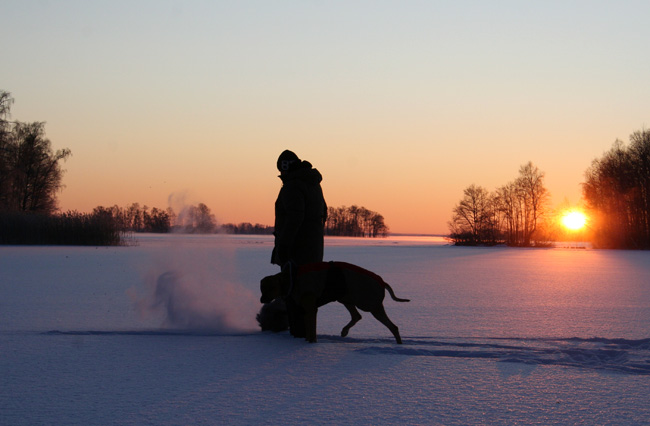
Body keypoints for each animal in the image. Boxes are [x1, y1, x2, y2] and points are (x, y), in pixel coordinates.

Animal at [260, 262, 408, 344]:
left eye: (271, 288)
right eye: (262, 288)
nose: (261, 300)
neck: (293, 278)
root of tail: (382, 282)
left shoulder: (312, 309)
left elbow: (312, 331)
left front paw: (311, 344)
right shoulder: (307, 310)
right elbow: (308, 330)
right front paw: (307, 342)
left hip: (372, 305)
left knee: (393, 327)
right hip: (346, 298)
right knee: (357, 316)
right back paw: (344, 331)